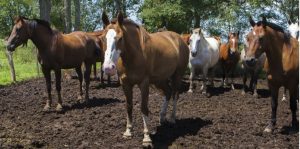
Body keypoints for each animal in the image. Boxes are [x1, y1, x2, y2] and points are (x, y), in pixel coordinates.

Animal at [101, 11, 189, 147]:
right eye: (102, 38)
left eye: (120, 38)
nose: (108, 68)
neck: (134, 55)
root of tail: (180, 39)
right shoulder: (125, 84)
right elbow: (129, 106)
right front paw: (128, 131)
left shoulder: (144, 83)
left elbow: (143, 108)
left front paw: (147, 138)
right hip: (160, 80)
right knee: (168, 92)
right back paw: (162, 118)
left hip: (177, 76)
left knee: (175, 94)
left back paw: (172, 119)